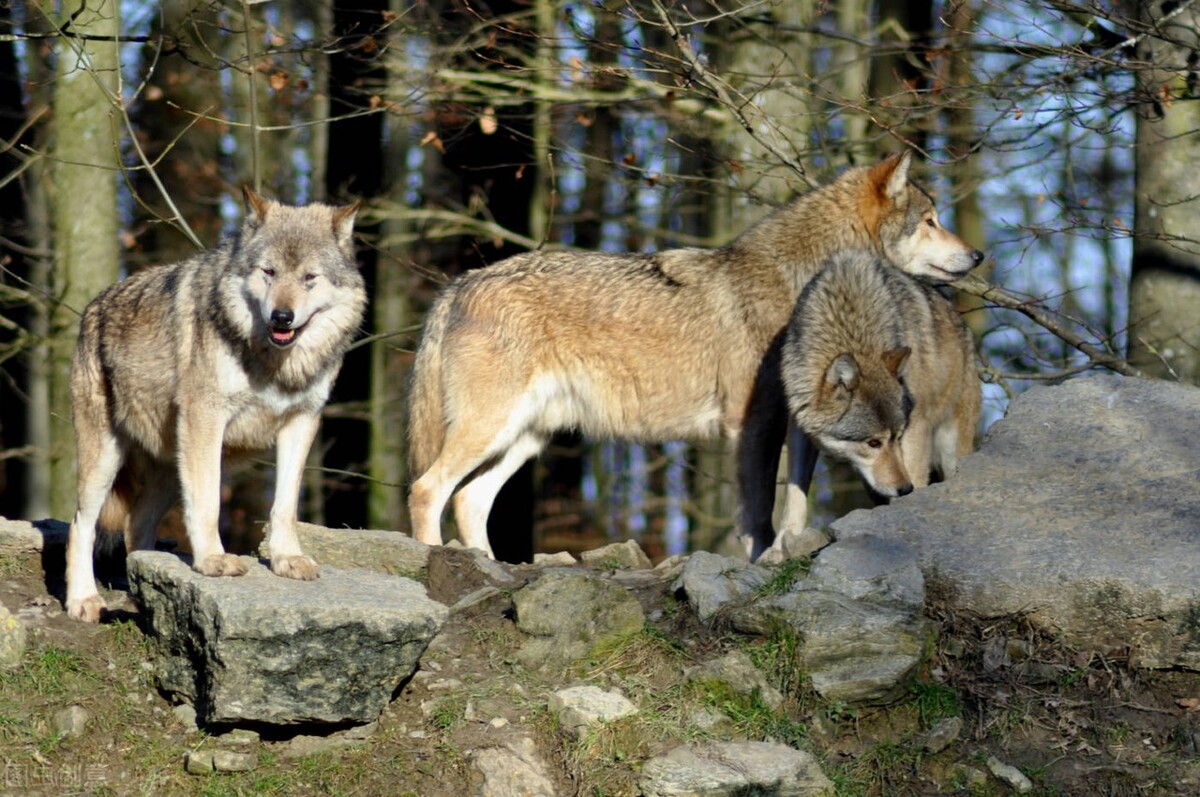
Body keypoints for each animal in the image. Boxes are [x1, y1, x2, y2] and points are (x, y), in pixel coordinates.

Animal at [65, 188, 362, 624]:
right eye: (268, 271)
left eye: (310, 277)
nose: (282, 316)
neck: (274, 363)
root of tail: (93, 307)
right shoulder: (206, 419)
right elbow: (207, 502)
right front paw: (212, 562)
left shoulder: (301, 422)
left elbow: (285, 505)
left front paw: (287, 559)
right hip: (106, 458)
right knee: (80, 525)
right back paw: (83, 600)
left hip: (168, 470)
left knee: (136, 526)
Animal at [739, 249, 984, 559]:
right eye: (873, 443)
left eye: (897, 437)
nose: (905, 489)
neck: (852, 320)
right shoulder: (800, 430)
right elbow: (794, 496)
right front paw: (779, 549)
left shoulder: (916, 428)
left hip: (950, 449)